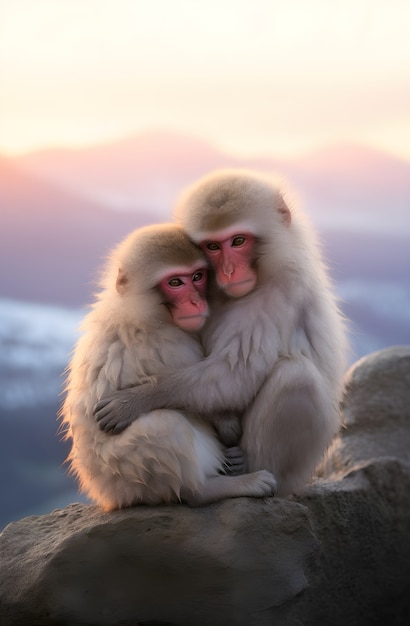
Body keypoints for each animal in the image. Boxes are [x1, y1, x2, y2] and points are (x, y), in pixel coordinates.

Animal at [59, 222, 278, 510]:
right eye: (175, 282)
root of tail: (108, 497)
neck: (142, 313)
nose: (197, 301)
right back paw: (210, 489)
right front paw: (226, 422)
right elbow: (191, 395)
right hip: (128, 477)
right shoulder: (167, 344)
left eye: (197, 276)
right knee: (162, 423)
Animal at [94, 168, 348, 494]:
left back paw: (247, 471)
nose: (228, 272)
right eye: (213, 246)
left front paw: (137, 399)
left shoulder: (285, 286)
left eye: (238, 241)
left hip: (301, 465)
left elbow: (234, 375)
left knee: (296, 377)